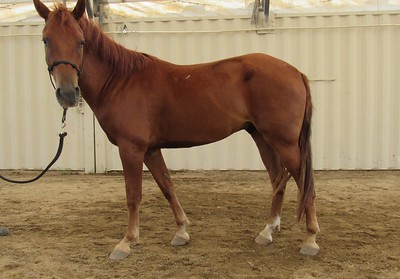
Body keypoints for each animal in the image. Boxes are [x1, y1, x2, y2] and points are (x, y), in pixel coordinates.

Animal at [35, 0, 322, 260]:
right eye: (46, 40)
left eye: (81, 42)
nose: (68, 94)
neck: (120, 81)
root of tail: (295, 72)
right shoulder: (151, 149)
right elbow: (167, 186)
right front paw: (182, 231)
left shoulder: (131, 148)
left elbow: (133, 195)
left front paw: (126, 242)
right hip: (263, 138)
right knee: (277, 179)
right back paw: (267, 231)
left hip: (284, 143)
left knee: (304, 182)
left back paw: (310, 239)